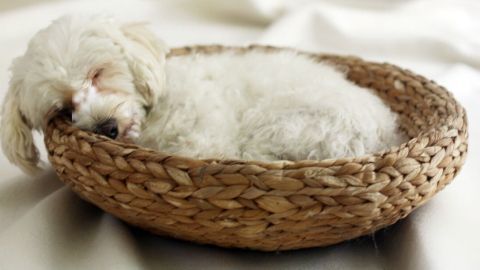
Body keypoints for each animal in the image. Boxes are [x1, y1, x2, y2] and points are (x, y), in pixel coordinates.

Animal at [0, 14, 406, 175]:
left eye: (97, 73)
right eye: (63, 107)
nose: (106, 127)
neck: (152, 117)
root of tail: (379, 134)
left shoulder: (207, 143)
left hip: (277, 125)